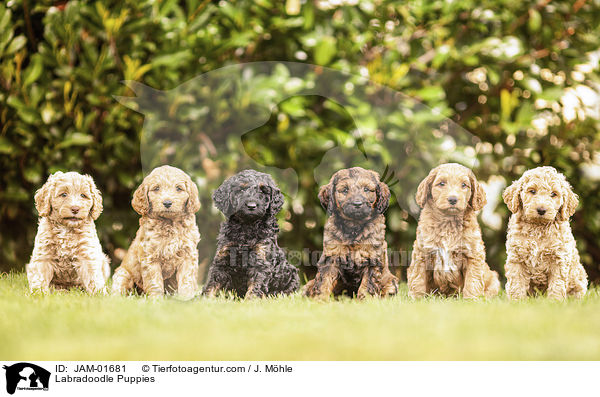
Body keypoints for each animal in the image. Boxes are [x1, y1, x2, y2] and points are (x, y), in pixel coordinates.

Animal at [113, 164, 203, 296]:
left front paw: (186, 297)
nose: (167, 203)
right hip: (122, 274)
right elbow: (154, 281)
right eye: (156, 188)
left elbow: (187, 280)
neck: (170, 223)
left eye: (179, 188)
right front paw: (156, 299)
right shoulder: (150, 257)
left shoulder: (188, 255)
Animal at [203, 168, 298, 296]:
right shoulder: (223, 258)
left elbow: (255, 288)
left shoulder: (260, 260)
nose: (251, 206)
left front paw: (251, 299)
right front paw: (205, 298)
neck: (247, 227)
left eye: (263, 191)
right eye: (241, 190)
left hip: (292, 275)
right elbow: (212, 284)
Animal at [304, 166, 398, 298]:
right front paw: (320, 299)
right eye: (345, 190)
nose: (357, 204)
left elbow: (367, 284)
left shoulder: (372, 258)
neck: (354, 226)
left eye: (366, 189)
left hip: (391, 282)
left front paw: (365, 300)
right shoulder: (331, 256)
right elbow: (324, 281)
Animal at [408, 163, 502, 296]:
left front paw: (471, 299)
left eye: (464, 185)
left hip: (494, 279)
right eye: (442, 183)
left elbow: (472, 281)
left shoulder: (473, 255)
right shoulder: (421, 253)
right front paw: (416, 298)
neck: (448, 221)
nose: (453, 199)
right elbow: (418, 279)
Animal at [502, 166, 584, 298]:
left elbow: (557, 285)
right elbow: (516, 283)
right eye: (532, 191)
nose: (541, 210)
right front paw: (517, 300)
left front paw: (554, 301)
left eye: (553, 194)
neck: (538, 227)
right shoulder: (516, 258)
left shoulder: (559, 259)